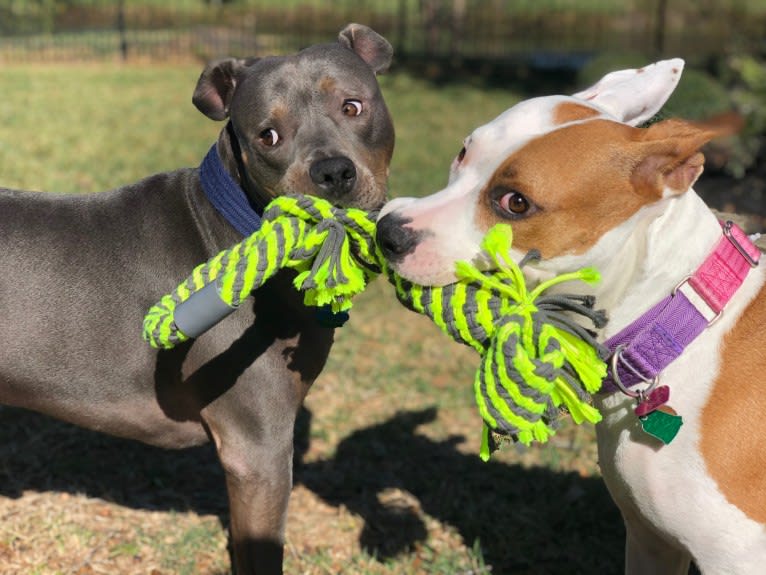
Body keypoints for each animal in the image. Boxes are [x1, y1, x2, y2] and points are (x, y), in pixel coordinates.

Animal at [378, 60, 766, 572]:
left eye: (515, 202)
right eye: (464, 152)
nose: (388, 231)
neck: (675, 323)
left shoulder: (737, 556)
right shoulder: (651, 540)